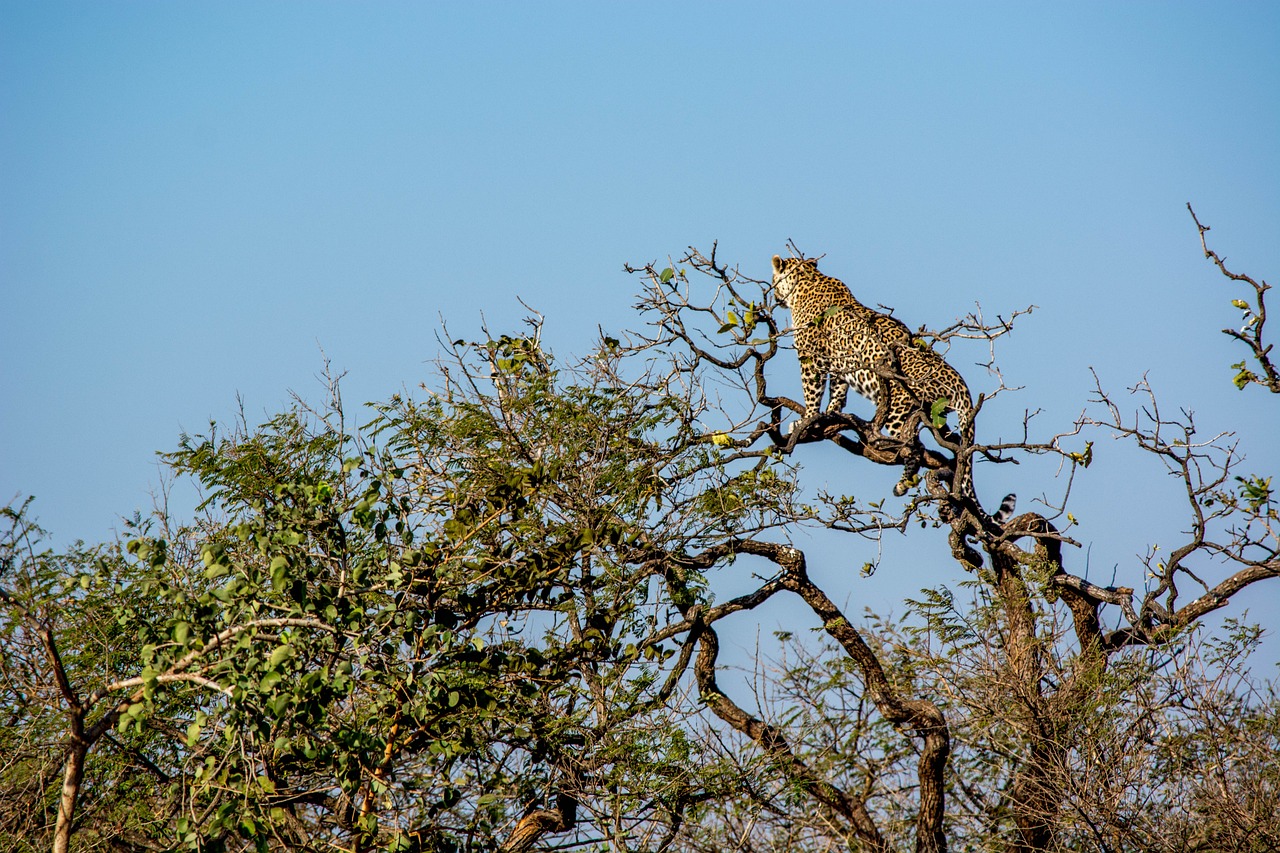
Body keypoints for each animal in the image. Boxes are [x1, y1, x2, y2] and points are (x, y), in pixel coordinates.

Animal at [768, 249, 977, 494]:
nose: (774, 296)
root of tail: (957, 380)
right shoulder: (839, 363)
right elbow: (837, 392)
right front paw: (829, 416)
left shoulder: (810, 358)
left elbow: (812, 392)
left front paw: (808, 420)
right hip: (935, 414)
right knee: (950, 440)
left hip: (899, 409)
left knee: (915, 446)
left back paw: (903, 482)